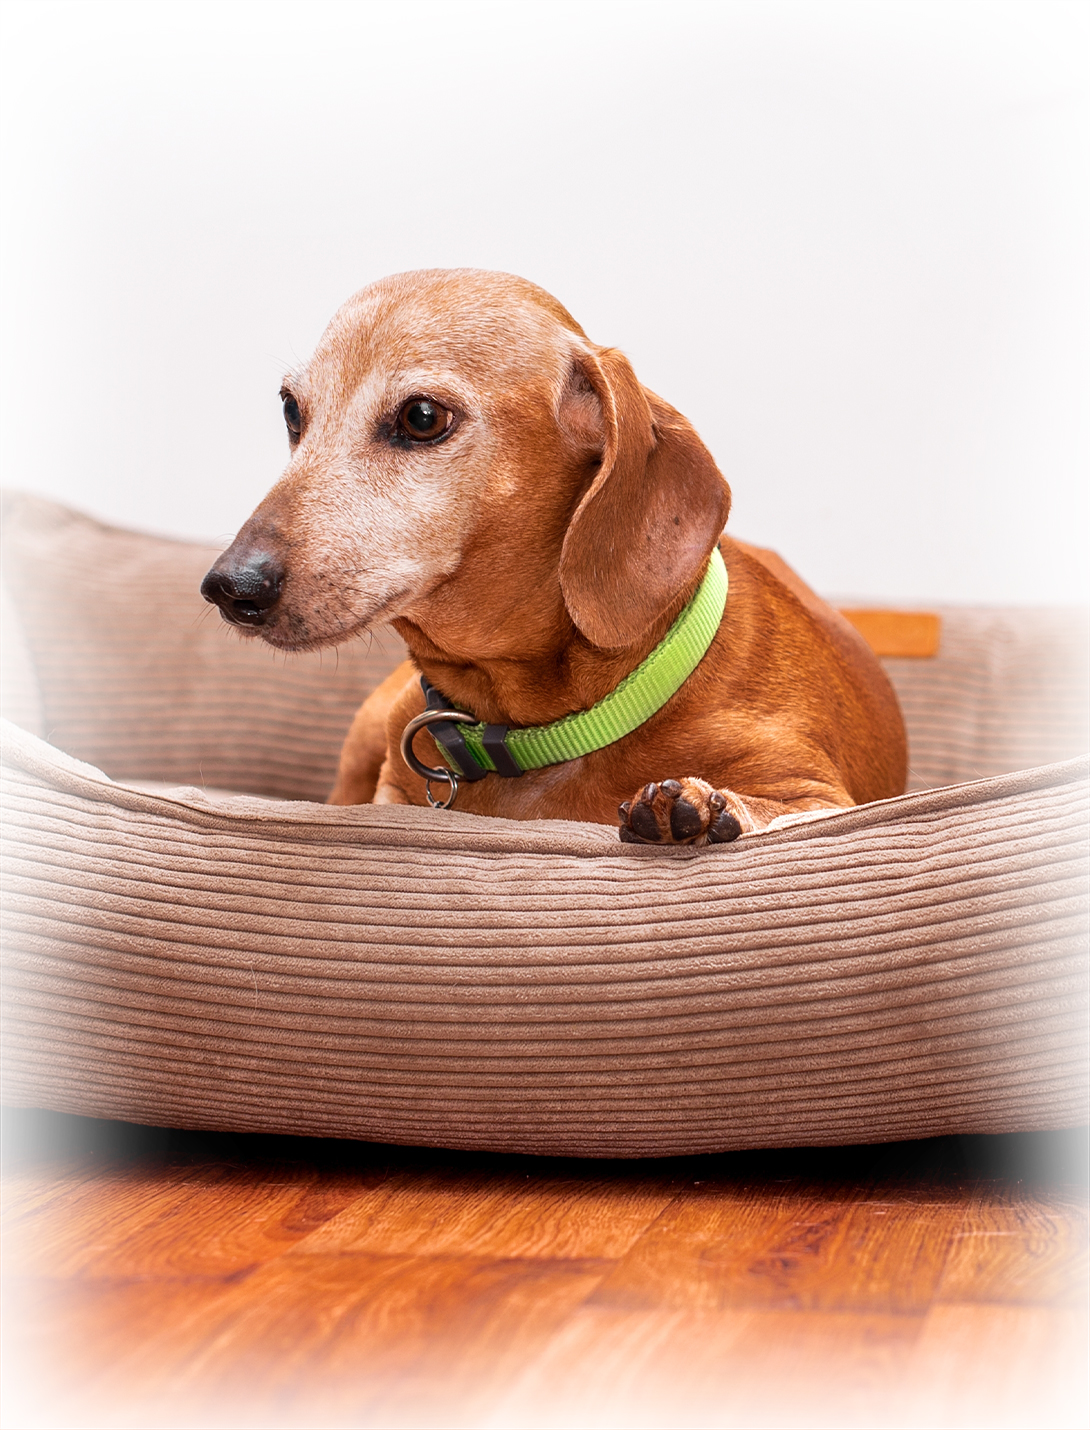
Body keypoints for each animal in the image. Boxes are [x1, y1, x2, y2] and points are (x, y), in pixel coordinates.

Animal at [201, 269, 906, 843]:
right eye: (292, 410)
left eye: (422, 416)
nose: (231, 587)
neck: (540, 730)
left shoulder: (816, 795)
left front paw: (705, 807)